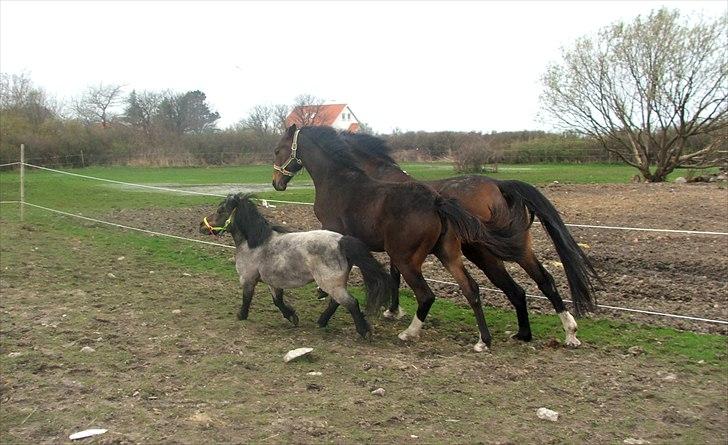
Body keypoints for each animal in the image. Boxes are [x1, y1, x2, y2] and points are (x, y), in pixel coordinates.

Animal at [198, 193, 392, 338]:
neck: (255, 244)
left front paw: (241, 316)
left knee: (351, 303)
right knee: (336, 302)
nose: (201, 225)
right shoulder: (272, 282)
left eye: (221, 210)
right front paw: (292, 317)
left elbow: (247, 298)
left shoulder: (247, 279)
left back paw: (363, 331)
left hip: (331, 284)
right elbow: (278, 301)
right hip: (333, 285)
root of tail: (341, 241)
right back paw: (321, 322)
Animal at [270, 124, 528, 350]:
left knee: (426, 295)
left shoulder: (337, 235)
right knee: (471, 289)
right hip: (448, 255)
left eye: (277, 150)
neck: (339, 180)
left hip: (407, 259)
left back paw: (409, 333)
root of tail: (437, 202)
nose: (276, 183)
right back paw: (483, 341)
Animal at [338, 130, 600, 346]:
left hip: (484, 251)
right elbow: (396, 274)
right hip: (517, 248)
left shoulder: (399, 248)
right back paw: (555, 333)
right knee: (540, 281)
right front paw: (394, 311)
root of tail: (498, 184)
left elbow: (395, 275)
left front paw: (392, 311)